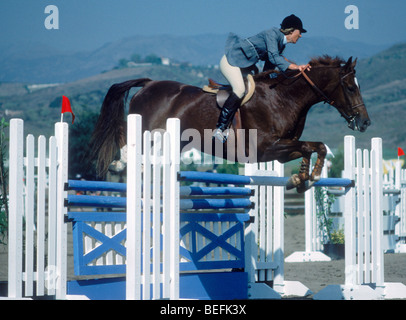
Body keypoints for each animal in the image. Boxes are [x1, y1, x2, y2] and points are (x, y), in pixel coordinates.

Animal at [89, 55, 372, 191]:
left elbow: (314, 147)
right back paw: (118, 164)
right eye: (350, 87)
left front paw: (303, 179)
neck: (284, 98)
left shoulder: (281, 150)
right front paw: (309, 178)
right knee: (129, 151)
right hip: (147, 133)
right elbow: (312, 146)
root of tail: (148, 84)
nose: (365, 122)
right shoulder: (265, 149)